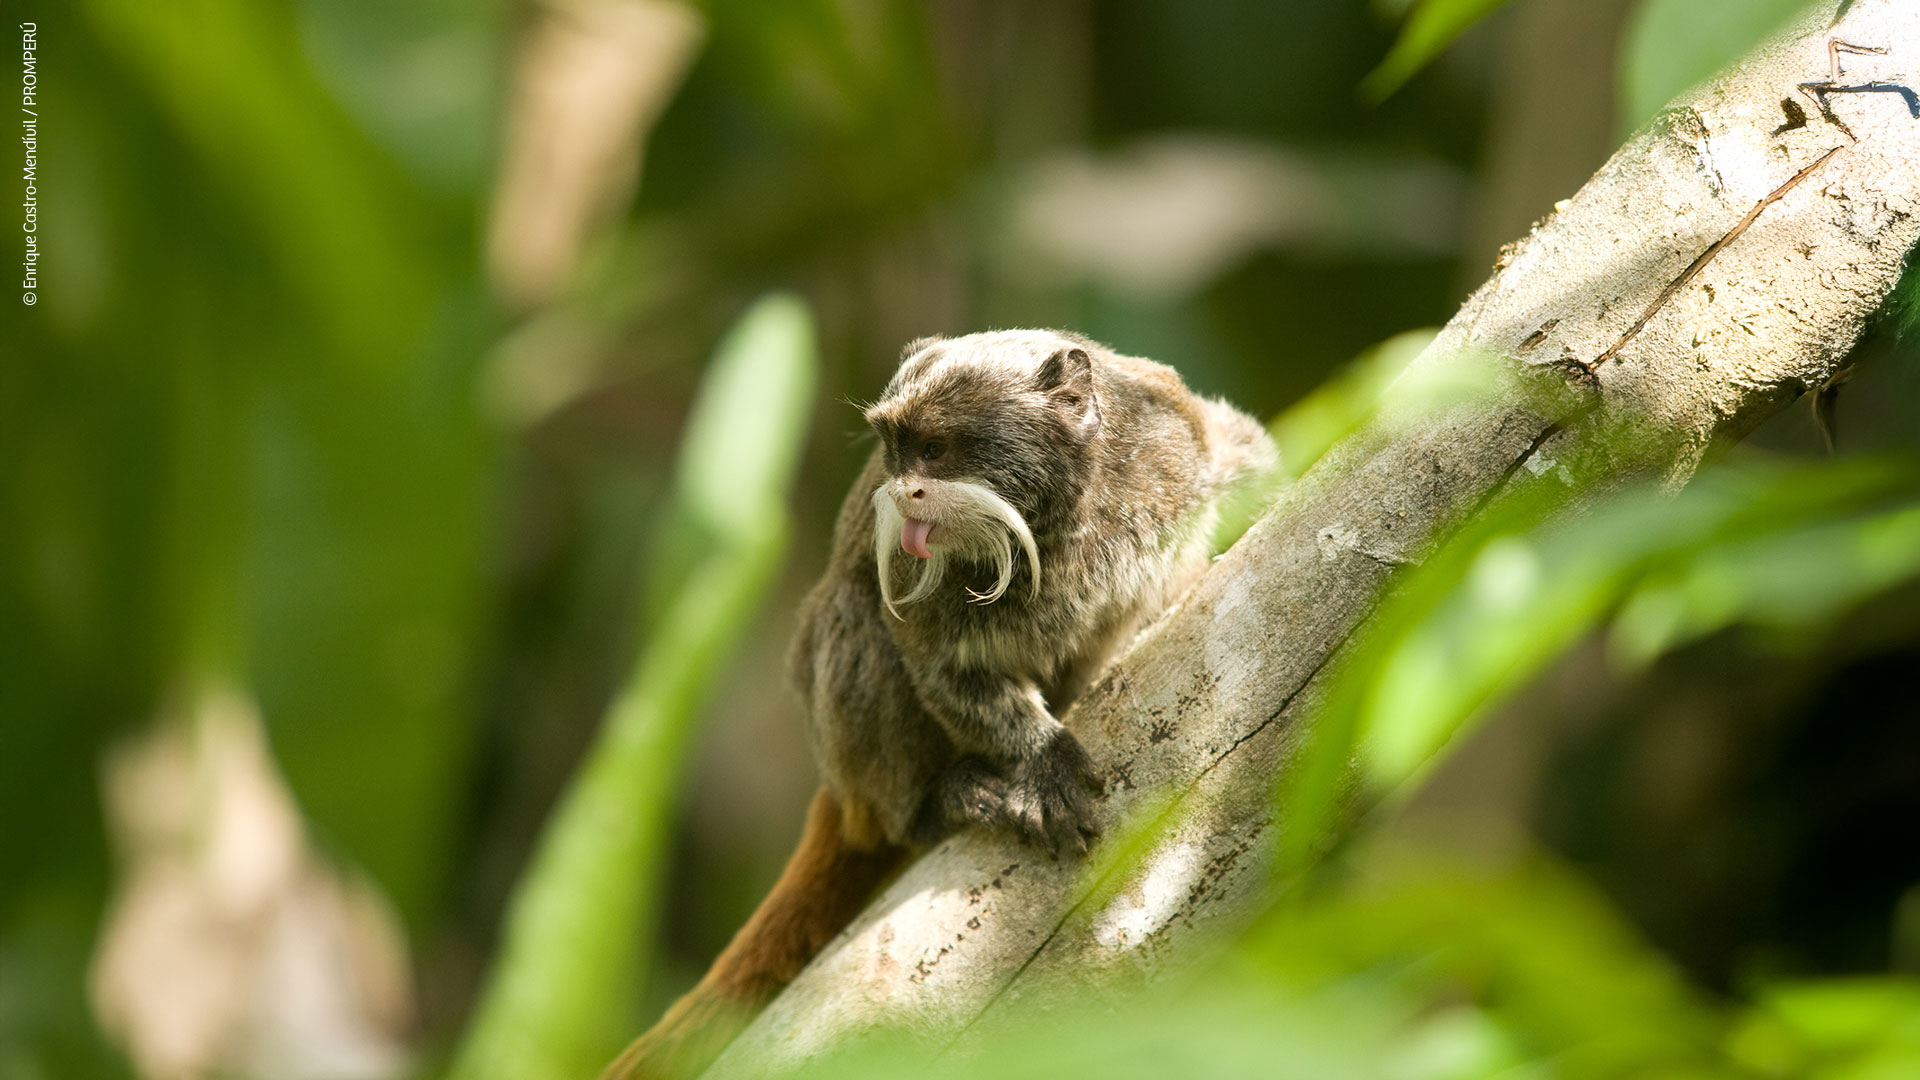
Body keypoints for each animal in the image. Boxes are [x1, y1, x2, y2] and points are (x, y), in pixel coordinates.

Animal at [604, 329, 1275, 1080]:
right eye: (895, 451)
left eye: (934, 448)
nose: (906, 492)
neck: (1062, 519)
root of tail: (845, 792)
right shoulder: (904, 558)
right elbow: (940, 670)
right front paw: (1043, 759)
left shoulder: (1178, 440)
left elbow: (1244, 462)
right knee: (855, 626)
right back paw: (938, 802)